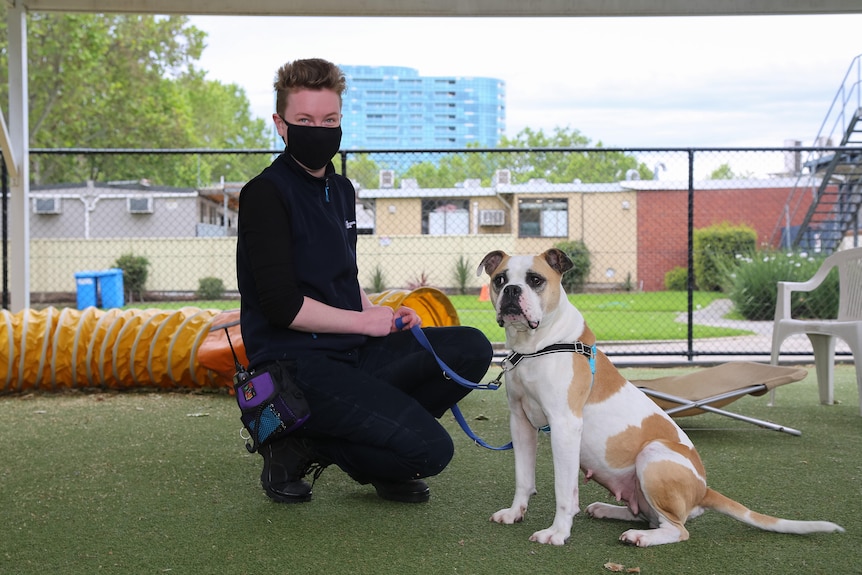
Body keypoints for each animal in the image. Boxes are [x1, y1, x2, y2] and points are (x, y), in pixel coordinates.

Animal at [476, 250, 848, 548]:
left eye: (535, 280)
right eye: (500, 279)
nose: (511, 291)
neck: (536, 347)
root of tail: (703, 489)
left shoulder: (565, 427)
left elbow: (564, 491)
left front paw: (557, 533)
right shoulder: (521, 423)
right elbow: (524, 478)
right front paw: (515, 512)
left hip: (652, 456)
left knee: (677, 529)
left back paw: (640, 536)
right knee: (648, 515)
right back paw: (608, 510)